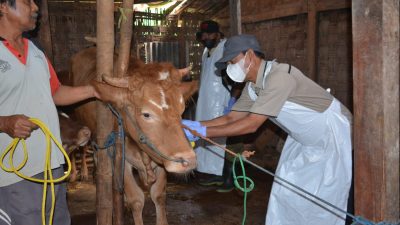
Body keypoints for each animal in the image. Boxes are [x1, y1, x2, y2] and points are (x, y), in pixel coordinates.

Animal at [70, 48, 198, 225]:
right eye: (146, 114)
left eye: (182, 109)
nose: (189, 161)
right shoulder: (120, 157)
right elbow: (136, 200)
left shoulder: (159, 156)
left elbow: (159, 196)